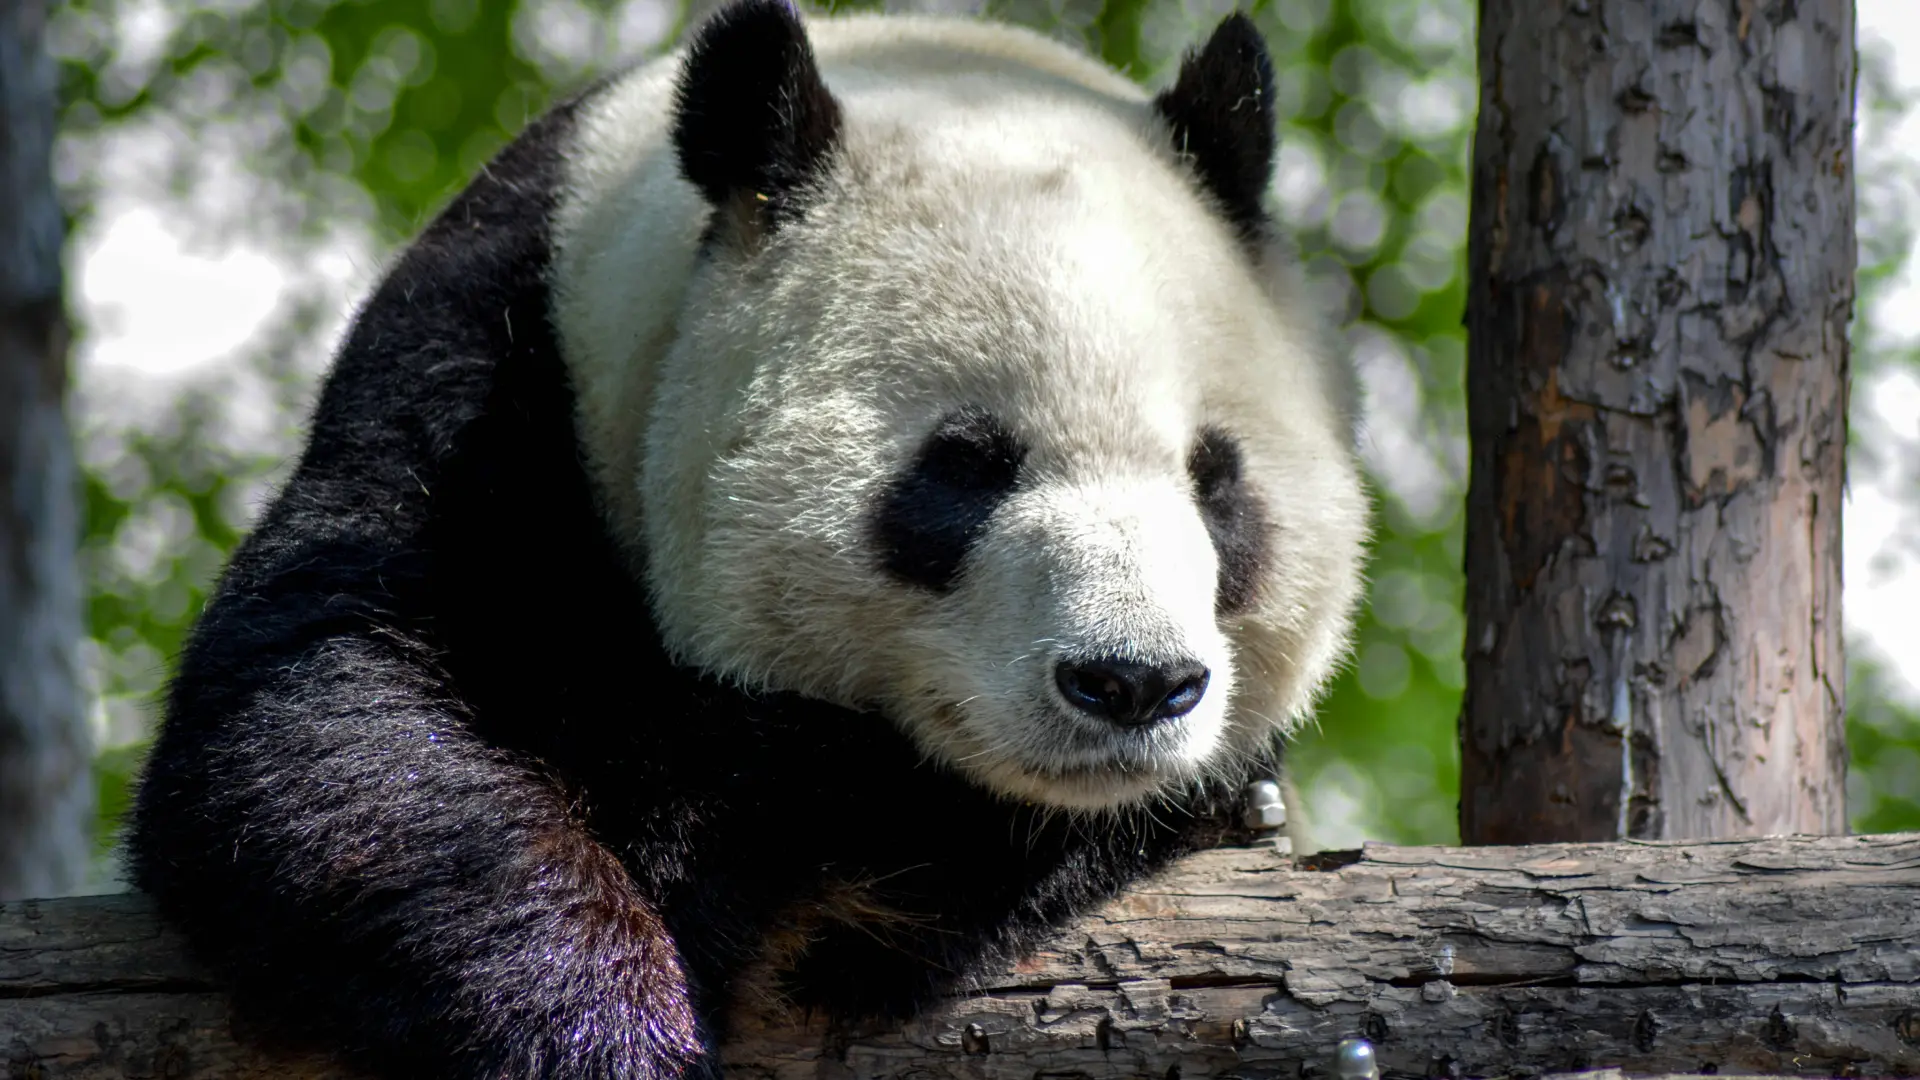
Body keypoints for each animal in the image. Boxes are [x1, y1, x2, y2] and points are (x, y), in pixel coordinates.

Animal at [127, 2, 1369, 1077]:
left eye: (1216, 480)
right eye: (964, 466)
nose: (1131, 683)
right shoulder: (486, 375)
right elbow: (327, 728)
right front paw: (612, 1029)